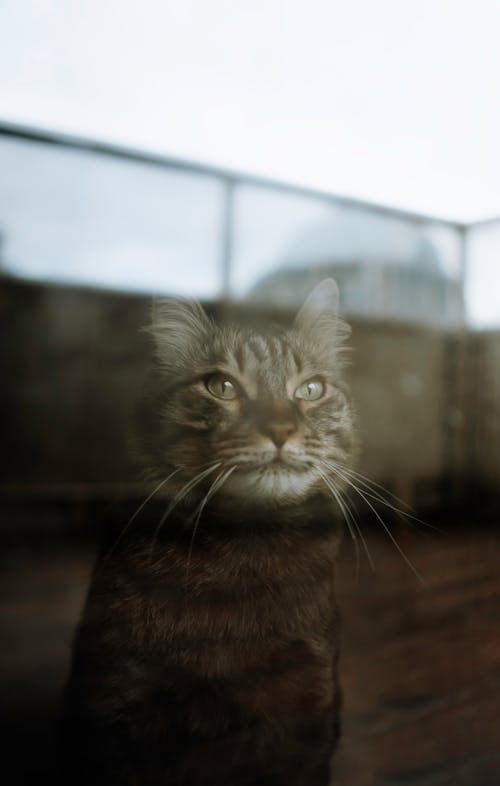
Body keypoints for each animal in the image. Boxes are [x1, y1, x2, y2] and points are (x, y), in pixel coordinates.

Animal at [60, 278, 356, 780]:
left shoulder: (309, 697)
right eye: (222, 387)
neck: (245, 546)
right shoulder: (117, 694)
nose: (280, 429)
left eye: (311, 389)